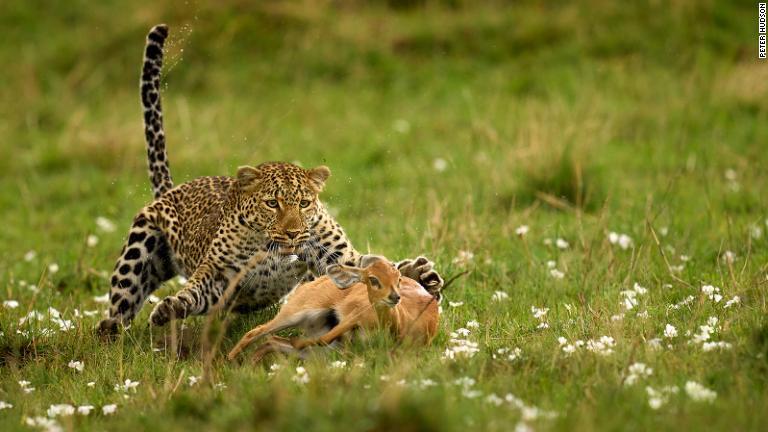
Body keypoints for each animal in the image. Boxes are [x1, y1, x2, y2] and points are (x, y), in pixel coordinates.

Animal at [97, 24, 444, 334]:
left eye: (303, 203)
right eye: (271, 204)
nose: (292, 234)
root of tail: (171, 191)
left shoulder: (337, 260)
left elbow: (362, 268)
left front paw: (415, 277)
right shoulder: (219, 275)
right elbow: (195, 291)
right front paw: (172, 307)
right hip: (139, 249)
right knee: (122, 301)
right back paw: (110, 331)